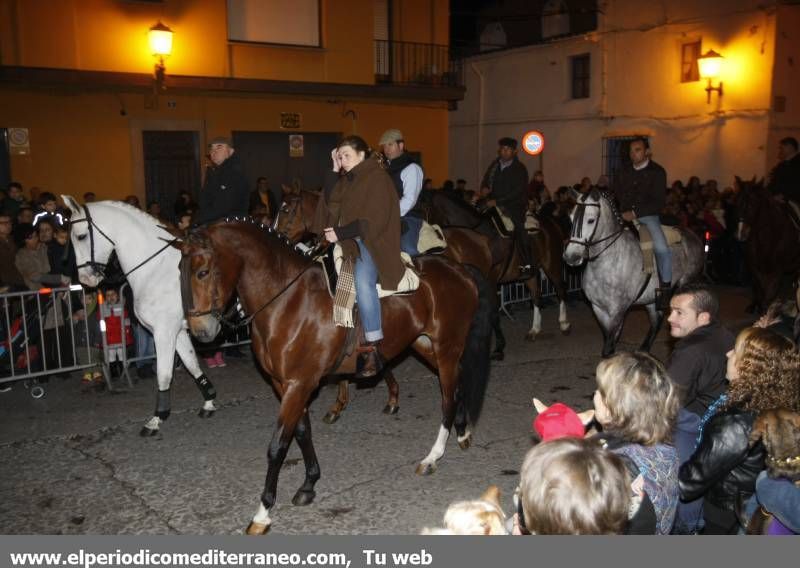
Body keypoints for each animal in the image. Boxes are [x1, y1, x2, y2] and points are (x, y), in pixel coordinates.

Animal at [62, 195, 217, 434]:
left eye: (81, 236)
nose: (86, 280)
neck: (157, 269)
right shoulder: (178, 331)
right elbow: (192, 364)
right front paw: (209, 402)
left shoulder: (164, 332)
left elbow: (164, 373)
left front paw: (157, 418)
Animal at [181, 219, 494, 532]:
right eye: (180, 272)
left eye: (202, 272)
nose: (201, 331)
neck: (288, 301)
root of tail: (460, 269)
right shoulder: (285, 384)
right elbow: (302, 432)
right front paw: (309, 484)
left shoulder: (299, 384)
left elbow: (278, 446)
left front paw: (262, 513)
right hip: (424, 344)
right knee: (457, 386)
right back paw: (463, 432)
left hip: (447, 347)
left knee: (447, 399)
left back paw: (432, 457)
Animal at [560, 191, 704, 360]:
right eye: (571, 218)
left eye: (591, 220)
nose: (571, 257)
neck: (608, 262)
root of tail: (693, 235)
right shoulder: (598, 308)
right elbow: (608, 341)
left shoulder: (618, 310)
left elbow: (609, 347)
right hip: (651, 298)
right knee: (656, 320)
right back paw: (643, 351)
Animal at [736, 176, 800, 312]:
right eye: (737, 203)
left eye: (752, 204)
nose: (740, 233)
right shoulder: (754, 267)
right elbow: (758, 286)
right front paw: (756, 305)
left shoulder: (776, 270)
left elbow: (770, 290)